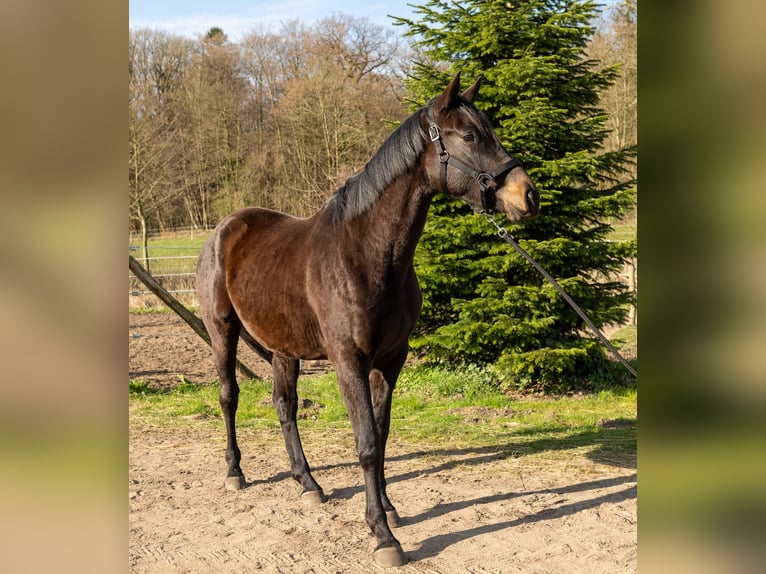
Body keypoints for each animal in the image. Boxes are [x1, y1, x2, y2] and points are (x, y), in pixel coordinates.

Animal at [195, 72, 539, 567]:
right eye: (470, 136)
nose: (527, 195)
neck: (367, 254)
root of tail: (225, 229)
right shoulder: (348, 362)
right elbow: (367, 443)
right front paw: (382, 535)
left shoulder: (390, 361)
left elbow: (382, 434)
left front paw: (389, 510)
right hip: (222, 331)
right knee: (229, 397)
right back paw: (235, 472)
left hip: (284, 348)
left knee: (285, 406)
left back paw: (308, 483)